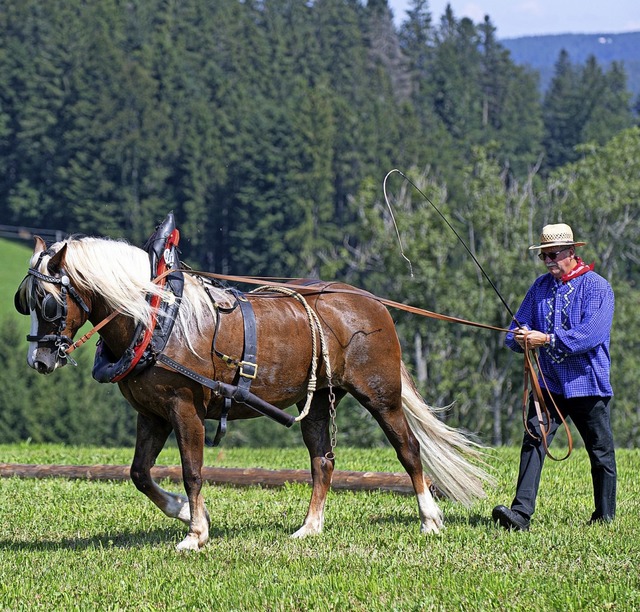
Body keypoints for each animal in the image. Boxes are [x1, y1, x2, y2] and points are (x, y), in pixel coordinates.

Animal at [15, 233, 490, 548]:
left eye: (48, 302)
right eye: (27, 302)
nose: (40, 361)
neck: (156, 319)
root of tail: (371, 302)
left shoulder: (184, 408)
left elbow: (192, 471)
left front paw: (196, 533)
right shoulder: (151, 413)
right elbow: (139, 474)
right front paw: (183, 512)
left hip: (381, 395)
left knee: (408, 449)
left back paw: (429, 518)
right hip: (318, 401)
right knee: (322, 460)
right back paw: (309, 527)